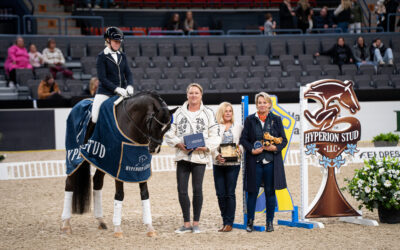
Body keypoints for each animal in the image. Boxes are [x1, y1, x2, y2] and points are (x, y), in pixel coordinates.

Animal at [60, 92, 177, 238]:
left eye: (167, 128)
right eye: (154, 124)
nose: (154, 149)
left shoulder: (140, 167)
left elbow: (145, 194)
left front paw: (150, 228)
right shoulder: (118, 166)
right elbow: (120, 194)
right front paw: (118, 229)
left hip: (103, 162)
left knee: (97, 182)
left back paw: (101, 220)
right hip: (75, 157)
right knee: (69, 183)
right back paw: (66, 224)